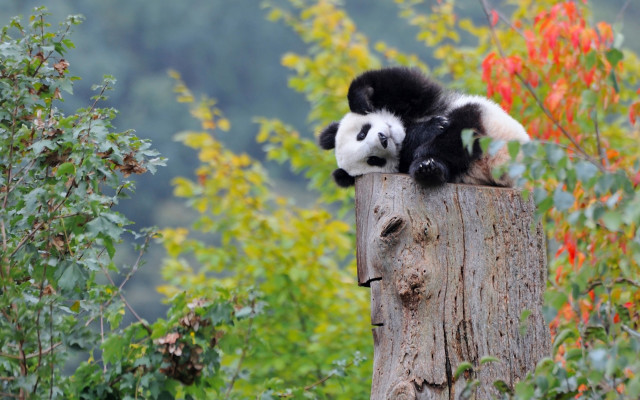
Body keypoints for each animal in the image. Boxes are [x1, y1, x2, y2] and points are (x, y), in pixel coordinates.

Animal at [318, 67, 530, 188]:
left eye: (362, 133)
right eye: (373, 160)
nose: (383, 139)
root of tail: (498, 163)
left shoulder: (420, 102)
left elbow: (402, 83)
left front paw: (361, 101)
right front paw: (425, 132)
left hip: (493, 123)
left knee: (464, 127)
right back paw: (428, 167)